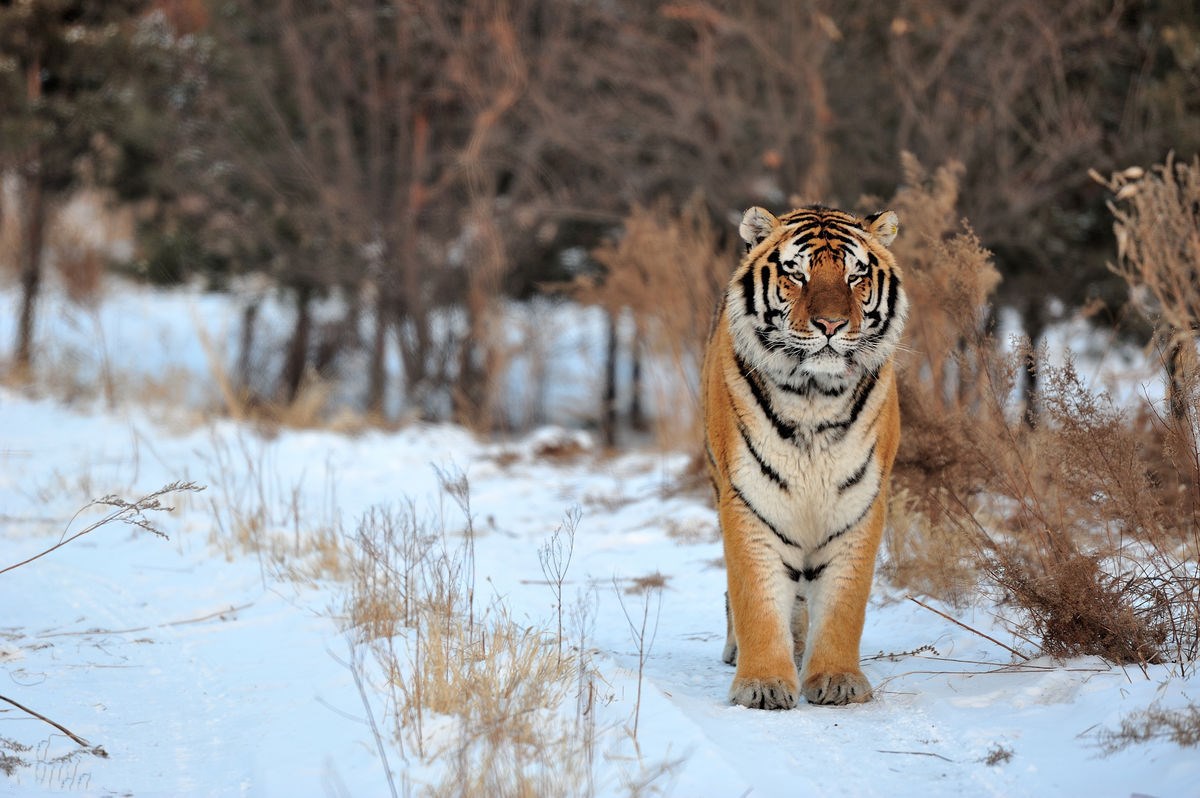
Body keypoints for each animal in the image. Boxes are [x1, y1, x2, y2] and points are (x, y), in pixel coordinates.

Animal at [700, 202, 902, 705]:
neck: (814, 395)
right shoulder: (748, 497)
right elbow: (756, 595)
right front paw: (762, 685)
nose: (830, 325)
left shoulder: (860, 501)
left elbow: (843, 604)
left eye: (855, 275)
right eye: (797, 273)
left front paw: (837, 679)